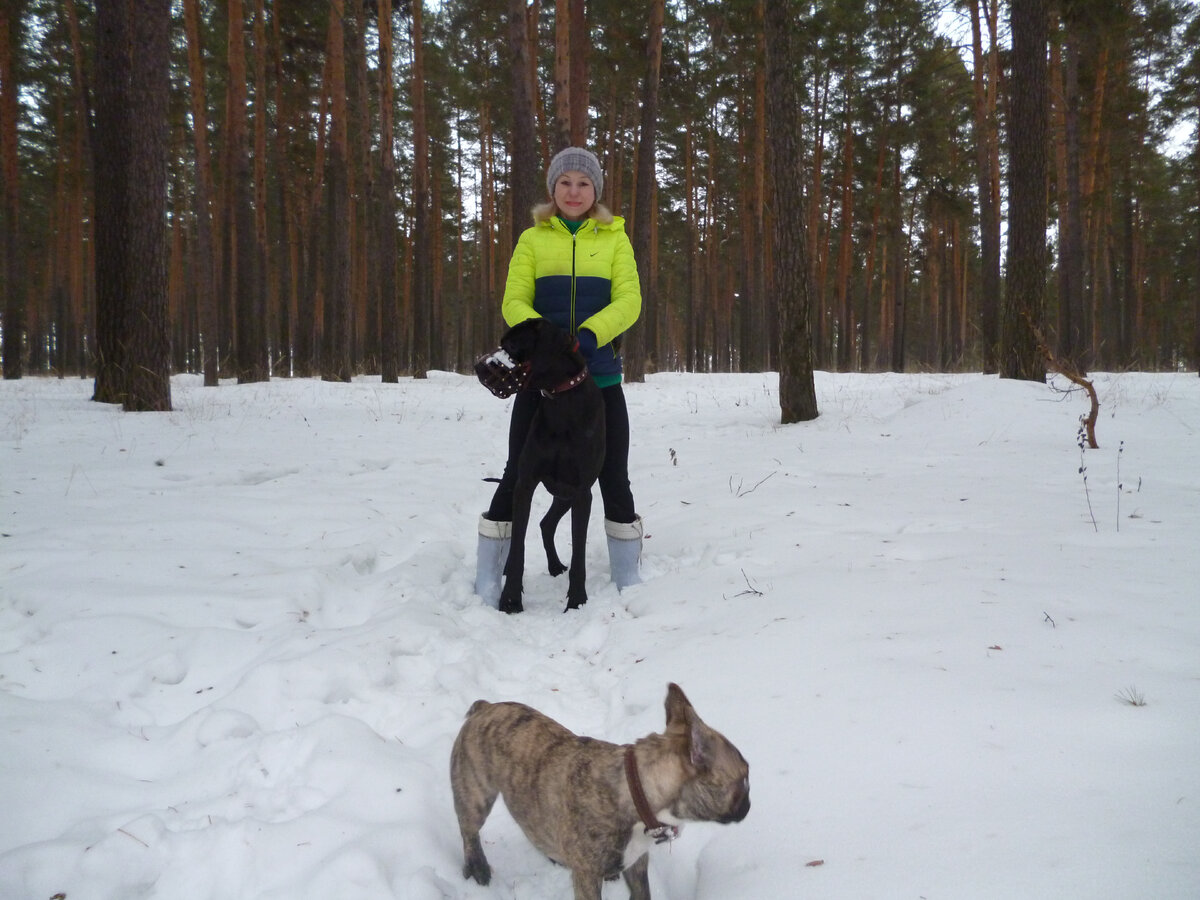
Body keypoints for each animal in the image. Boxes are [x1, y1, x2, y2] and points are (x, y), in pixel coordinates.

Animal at [482, 314, 604, 614]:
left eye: (512, 344)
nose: (478, 368)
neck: (561, 402)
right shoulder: (525, 484)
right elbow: (517, 547)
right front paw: (510, 599)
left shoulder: (582, 492)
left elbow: (579, 552)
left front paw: (577, 599)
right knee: (541, 525)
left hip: (566, 495)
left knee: (547, 524)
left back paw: (556, 566)